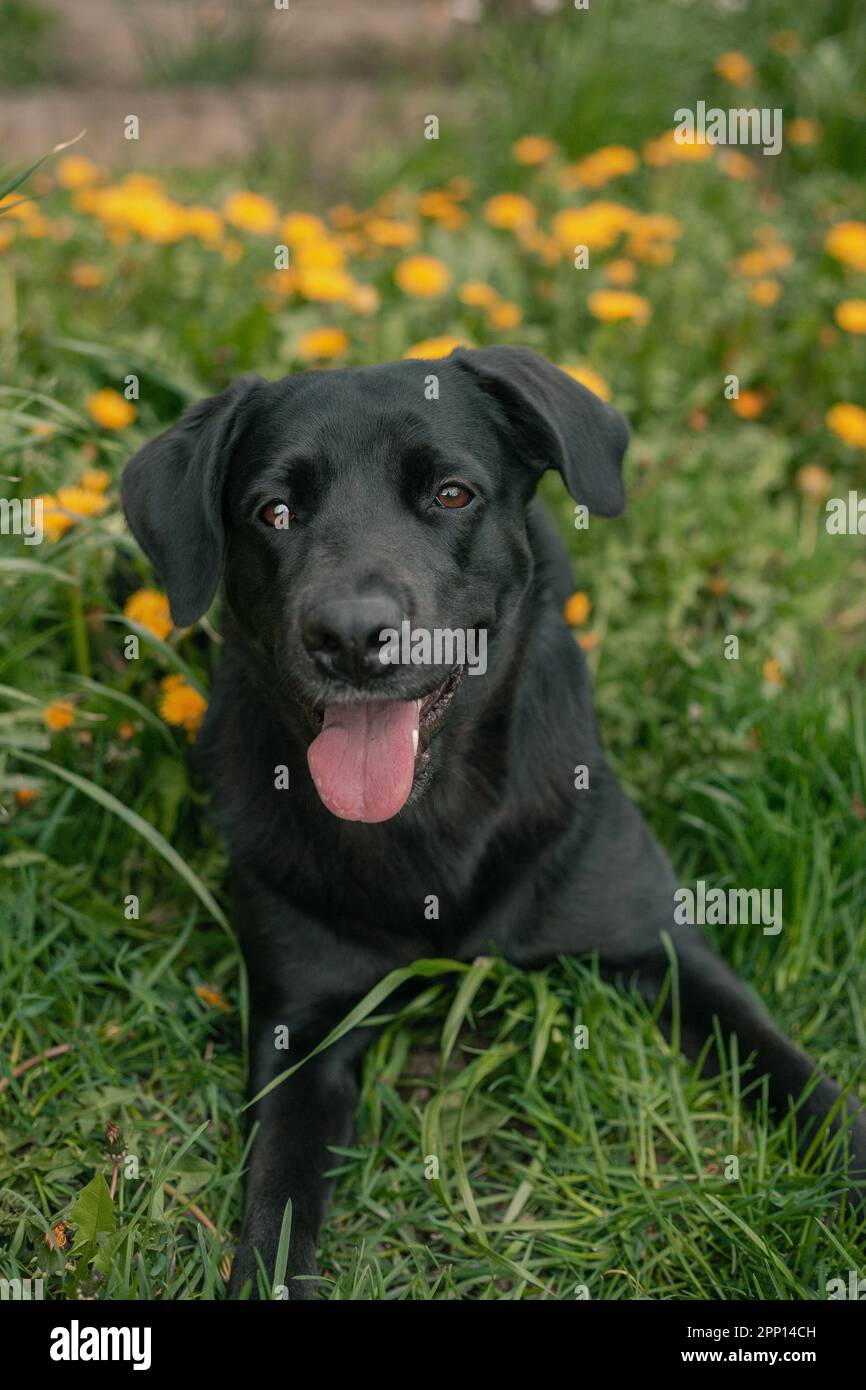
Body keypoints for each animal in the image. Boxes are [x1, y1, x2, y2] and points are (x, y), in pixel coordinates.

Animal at [123, 344, 866, 1289]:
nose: (350, 636)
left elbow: (801, 1077)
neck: (436, 816)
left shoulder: (663, 950)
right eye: (273, 512)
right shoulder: (301, 1023)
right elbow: (276, 1204)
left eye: (451, 494)